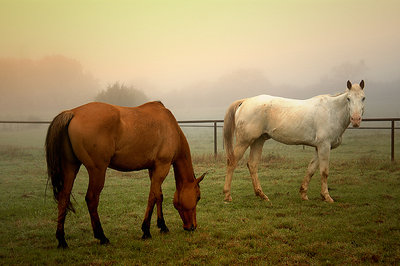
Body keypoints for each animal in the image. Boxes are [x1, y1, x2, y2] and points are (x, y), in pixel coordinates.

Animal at [45, 101, 205, 248]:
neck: (172, 129)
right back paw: (102, 237)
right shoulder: (162, 167)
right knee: (91, 199)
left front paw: (162, 226)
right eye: (198, 197)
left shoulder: (154, 169)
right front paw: (146, 231)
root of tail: (73, 113)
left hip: (70, 168)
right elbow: (152, 197)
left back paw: (62, 240)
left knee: (63, 197)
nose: (192, 227)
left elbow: (159, 196)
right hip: (97, 170)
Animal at [223, 80, 368, 203]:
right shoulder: (324, 146)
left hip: (258, 141)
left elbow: (311, 169)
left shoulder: (319, 147)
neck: (331, 111)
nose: (356, 119)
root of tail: (245, 101)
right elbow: (324, 172)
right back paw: (227, 195)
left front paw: (304, 194)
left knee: (252, 164)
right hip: (244, 141)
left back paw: (262, 195)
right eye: (348, 98)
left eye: (363, 98)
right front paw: (327, 197)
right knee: (232, 162)